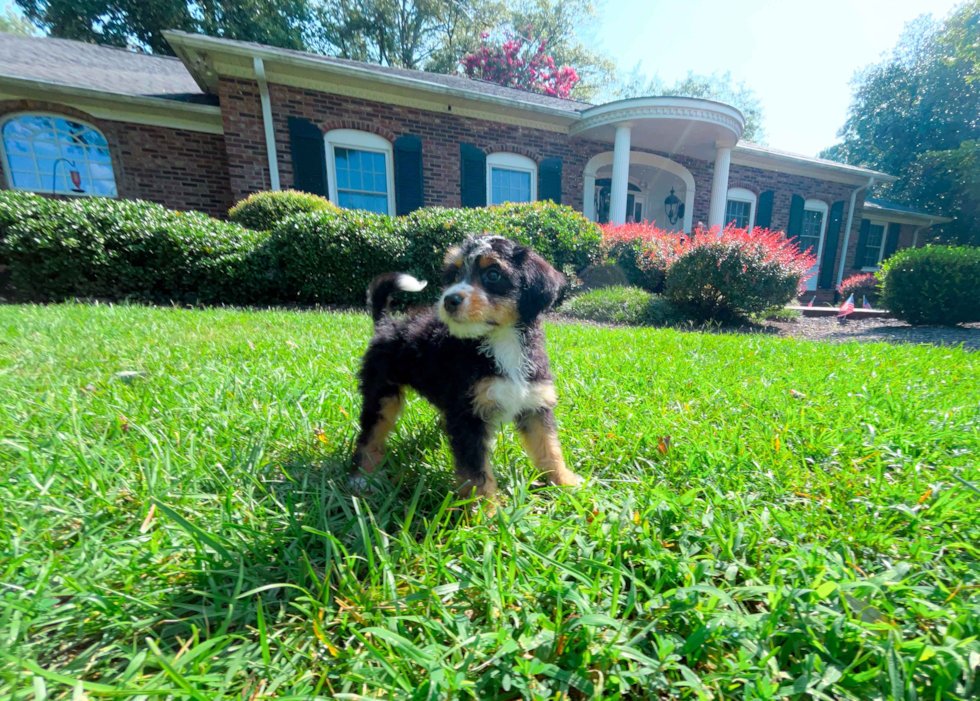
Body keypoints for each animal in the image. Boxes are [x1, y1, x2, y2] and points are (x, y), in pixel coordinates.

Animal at [354, 235, 580, 498]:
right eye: (454, 275)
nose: (449, 300)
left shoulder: (535, 403)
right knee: (370, 434)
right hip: (382, 393)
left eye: (493, 274)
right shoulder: (467, 416)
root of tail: (386, 324)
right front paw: (486, 508)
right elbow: (476, 472)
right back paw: (364, 478)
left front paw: (566, 483)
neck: (502, 341)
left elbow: (549, 447)